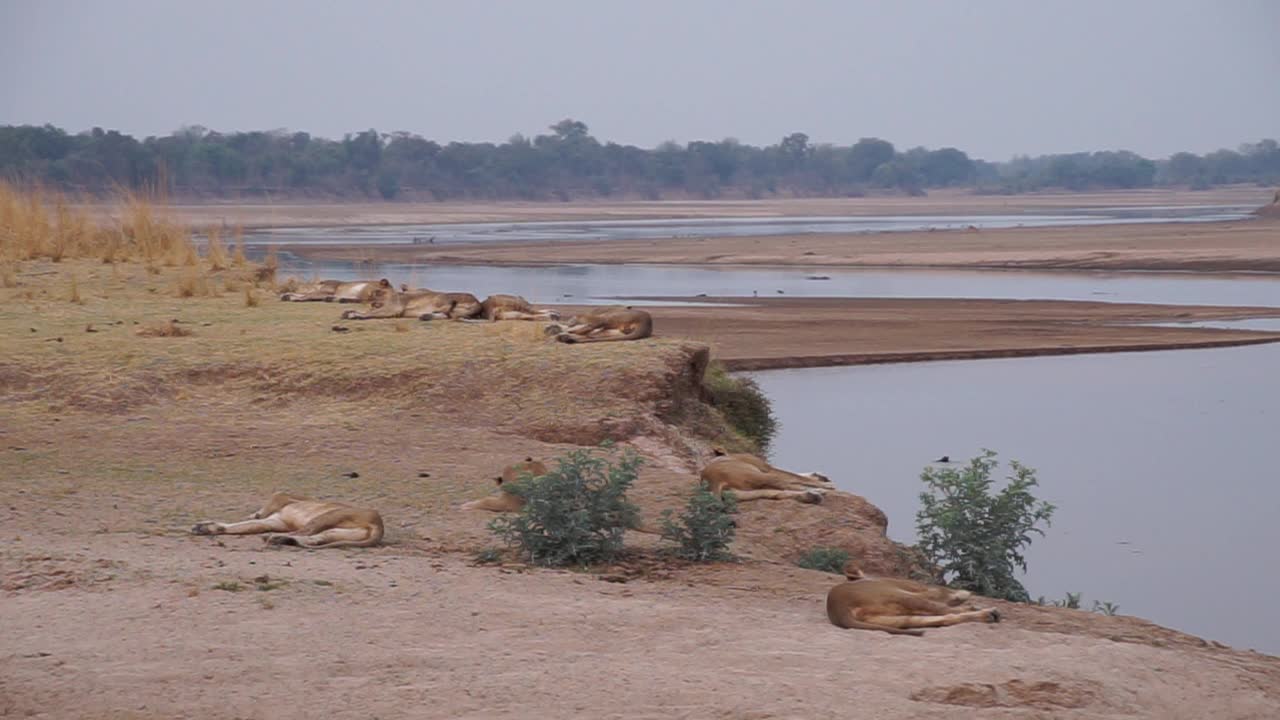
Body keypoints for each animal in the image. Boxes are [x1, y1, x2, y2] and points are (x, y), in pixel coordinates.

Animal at [186, 489, 381, 545]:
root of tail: (379, 524)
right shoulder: (277, 520)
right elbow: (246, 525)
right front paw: (205, 527)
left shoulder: (285, 499)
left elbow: (273, 498)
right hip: (335, 531)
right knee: (314, 538)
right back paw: (282, 539)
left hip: (328, 515)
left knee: (304, 532)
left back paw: (274, 538)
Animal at [696, 445, 834, 502]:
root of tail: (710, 479)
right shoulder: (767, 468)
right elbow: (794, 476)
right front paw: (825, 483)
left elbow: (795, 475)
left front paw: (821, 477)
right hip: (762, 476)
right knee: (788, 485)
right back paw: (819, 491)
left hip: (745, 492)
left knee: (778, 494)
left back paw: (813, 496)